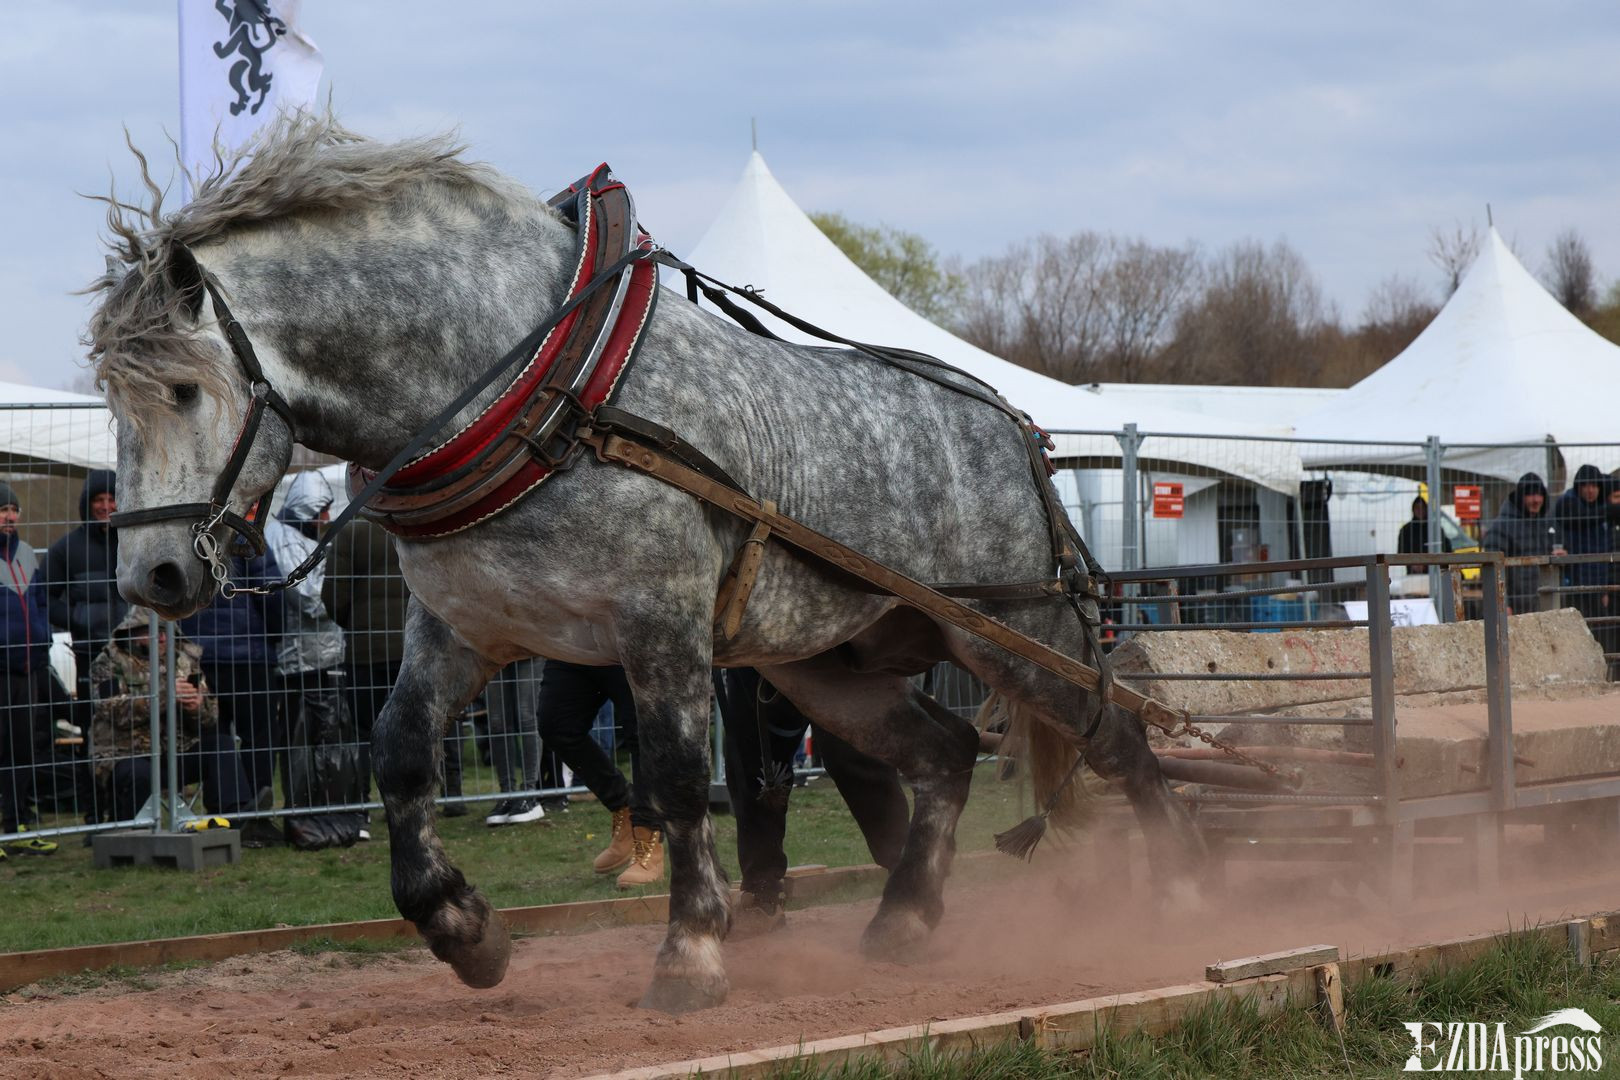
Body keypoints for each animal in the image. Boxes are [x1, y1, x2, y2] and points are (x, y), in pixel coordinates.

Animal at [90, 114, 1204, 1012]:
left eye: (183, 389)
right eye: (109, 395)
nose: (151, 582)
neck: (546, 390)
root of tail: (1014, 424)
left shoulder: (657, 623)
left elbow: (673, 779)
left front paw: (691, 953)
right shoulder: (465, 628)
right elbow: (399, 749)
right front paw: (462, 928)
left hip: (1013, 629)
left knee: (1118, 739)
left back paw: (1174, 898)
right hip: (829, 662)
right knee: (942, 752)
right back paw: (904, 918)